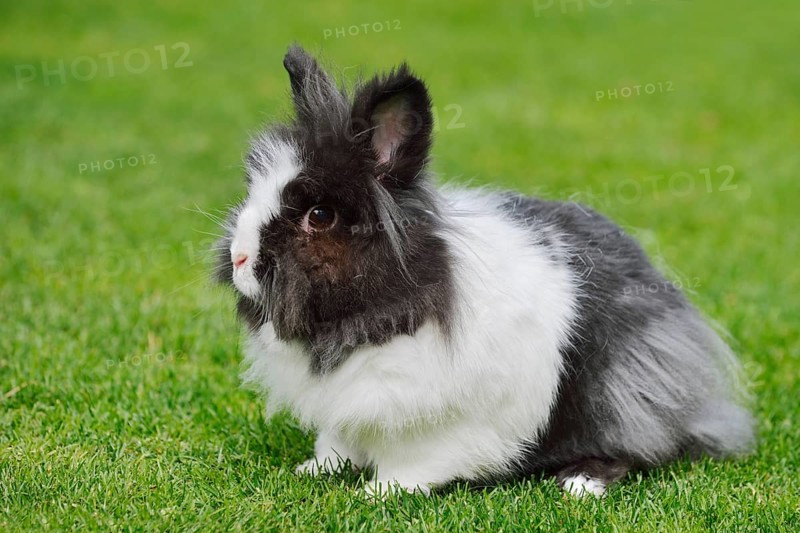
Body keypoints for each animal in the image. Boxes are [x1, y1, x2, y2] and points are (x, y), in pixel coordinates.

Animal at [215, 45, 754, 498]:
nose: (239, 257)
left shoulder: (435, 421)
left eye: (320, 215)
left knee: (640, 446)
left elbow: (413, 462)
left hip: (623, 392)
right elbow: (336, 442)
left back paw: (580, 483)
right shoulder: (344, 411)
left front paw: (378, 494)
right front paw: (315, 470)